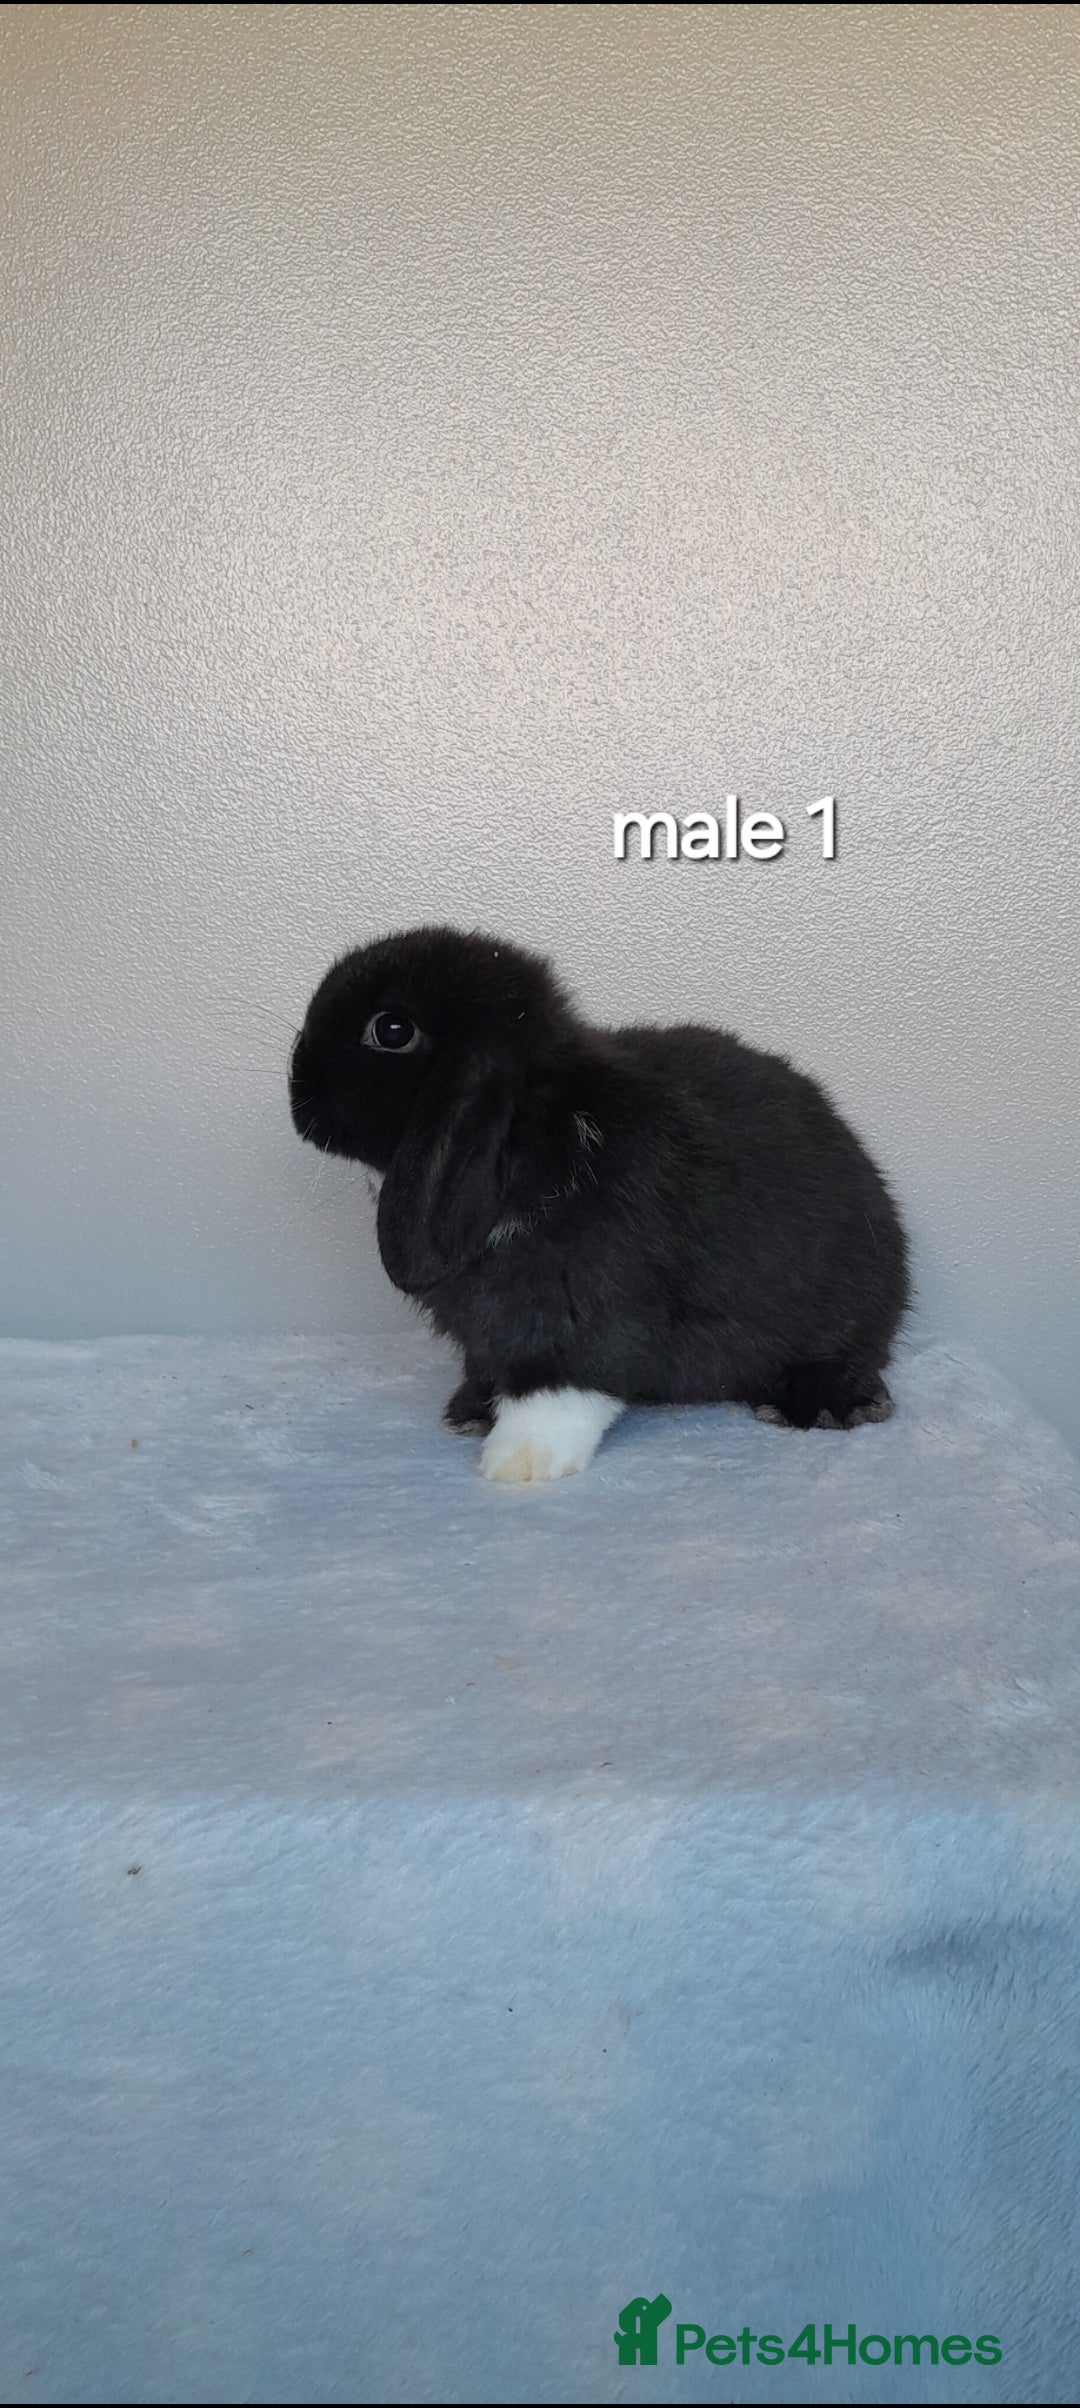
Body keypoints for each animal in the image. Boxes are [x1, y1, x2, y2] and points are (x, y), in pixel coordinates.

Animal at [289, 926, 910, 1482]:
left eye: (391, 1029)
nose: (297, 1089)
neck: (541, 1134)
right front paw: (474, 1412)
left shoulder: (581, 1313)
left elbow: (562, 1389)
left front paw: (518, 1463)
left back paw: (821, 1406)